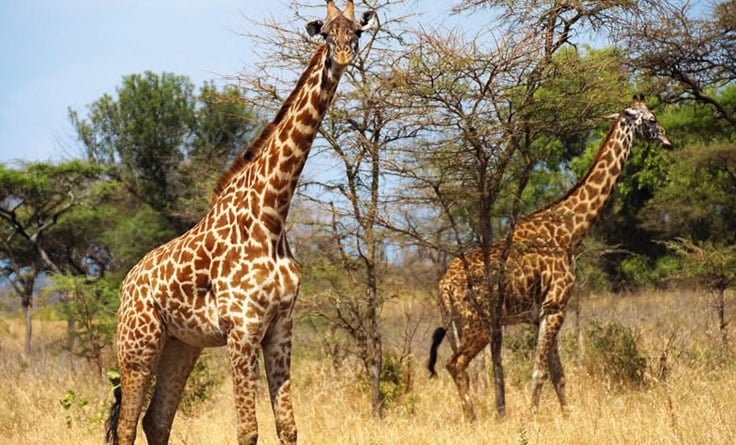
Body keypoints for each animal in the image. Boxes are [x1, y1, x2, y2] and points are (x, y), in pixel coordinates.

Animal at [105, 2, 377, 444]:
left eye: (356, 31)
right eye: (324, 32)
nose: (342, 57)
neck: (272, 214)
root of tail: (128, 283)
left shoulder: (281, 327)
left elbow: (288, 427)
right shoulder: (242, 328)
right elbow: (248, 430)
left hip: (182, 345)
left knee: (156, 420)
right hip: (137, 343)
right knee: (127, 424)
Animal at [428, 97, 672, 421]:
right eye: (652, 119)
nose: (669, 141)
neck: (569, 231)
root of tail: (444, 285)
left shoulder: (541, 313)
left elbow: (559, 375)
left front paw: (567, 418)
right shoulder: (556, 306)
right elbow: (540, 372)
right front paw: (531, 419)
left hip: (454, 323)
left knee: (457, 366)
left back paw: (472, 417)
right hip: (479, 322)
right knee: (456, 363)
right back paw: (473, 420)